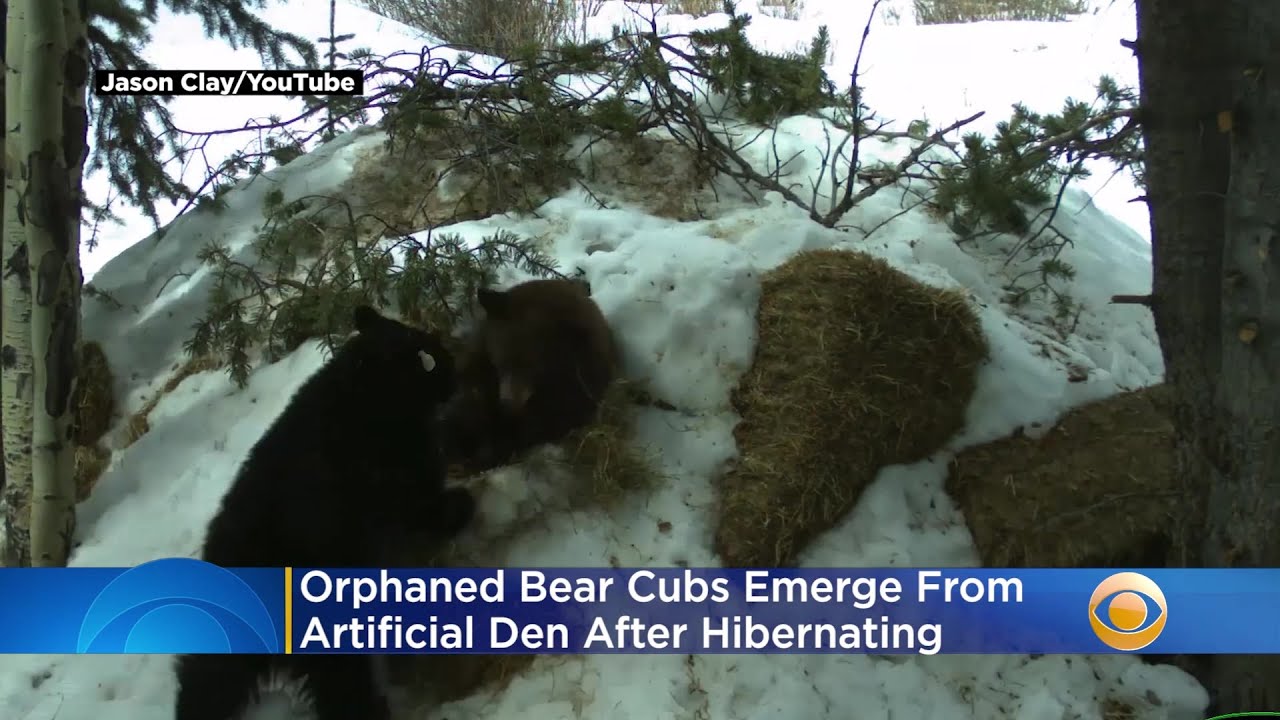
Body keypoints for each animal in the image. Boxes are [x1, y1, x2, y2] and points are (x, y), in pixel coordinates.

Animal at [173, 305, 476, 720]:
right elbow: (421, 504)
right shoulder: (396, 477)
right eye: (427, 357)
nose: (453, 365)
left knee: (206, 679)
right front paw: (458, 508)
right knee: (341, 687)